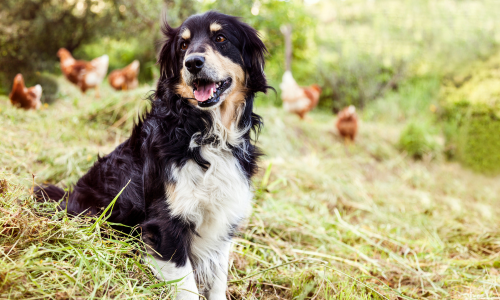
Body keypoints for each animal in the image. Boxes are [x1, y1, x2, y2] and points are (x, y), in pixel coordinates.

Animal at [36, 10, 270, 298]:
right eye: (183, 45)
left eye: (221, 38)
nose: (192, 63)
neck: (206, 133)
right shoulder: (164, 227)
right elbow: (188, 287)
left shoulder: (222, 223)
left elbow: (218, 282)